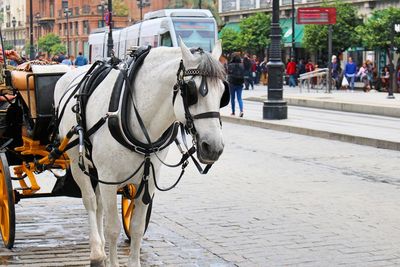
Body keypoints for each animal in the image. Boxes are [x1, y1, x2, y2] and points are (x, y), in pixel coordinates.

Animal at [54, 40, 227, 267]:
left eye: (223, 93)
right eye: (192, 92)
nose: (213, 147)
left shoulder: (148, 180)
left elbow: (136, 227)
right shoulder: (109, 177)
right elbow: (113, 228)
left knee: (99, 204)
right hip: (77, 163)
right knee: (90, 201)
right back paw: (97, 252)